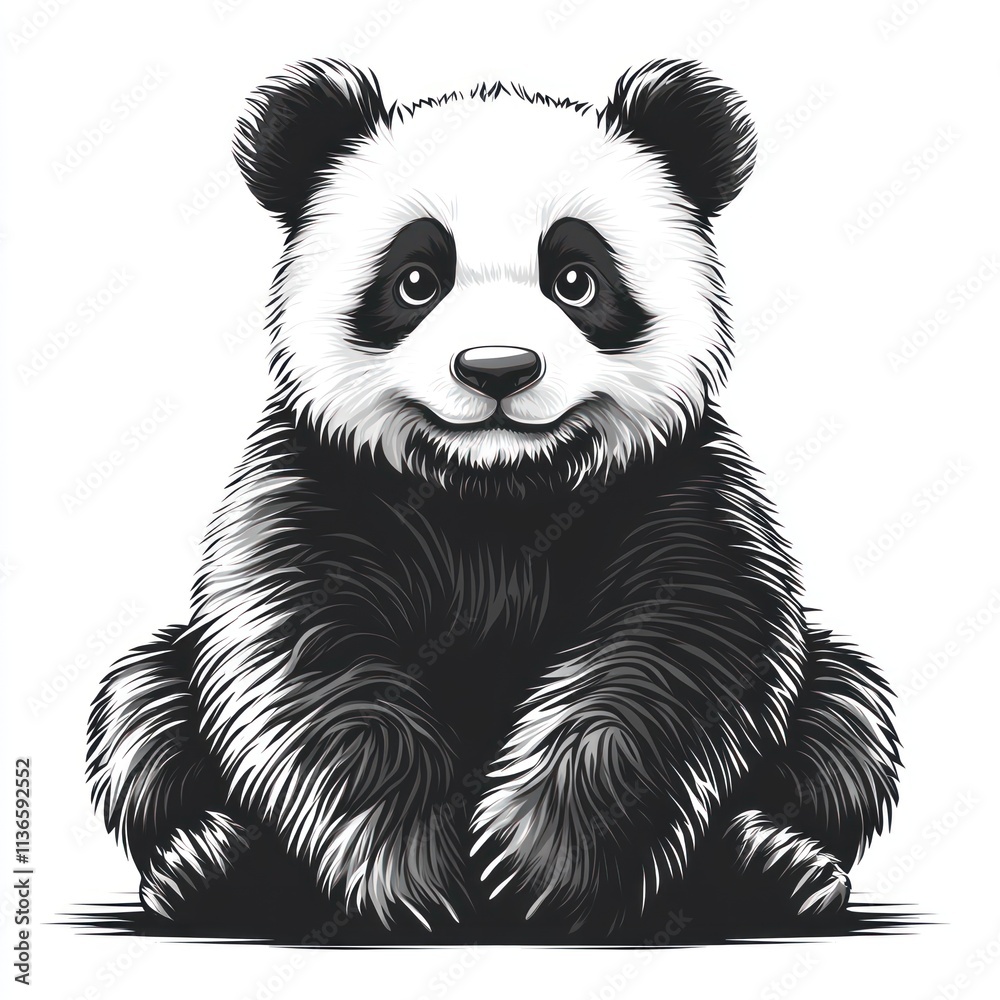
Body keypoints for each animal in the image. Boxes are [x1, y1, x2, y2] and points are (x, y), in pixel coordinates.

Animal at [87, 58, 901, 944]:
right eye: (416, 279)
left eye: (576, 279)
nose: (498, 368)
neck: (496, 490)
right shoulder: (317, 485)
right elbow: (308, 658)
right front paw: (420, 874)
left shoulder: (674, 484)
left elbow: (680, 642)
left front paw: (546, 866)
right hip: (165, 687)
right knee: (143, 724)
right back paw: (211, 865)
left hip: (827, 698)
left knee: (844, 731)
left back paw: (774, 866)